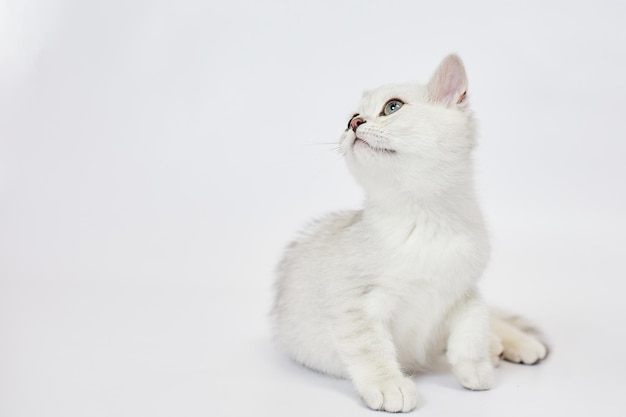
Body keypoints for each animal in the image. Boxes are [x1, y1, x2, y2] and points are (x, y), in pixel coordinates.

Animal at [270, 53, 544, 412]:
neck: (424, 221)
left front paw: (475, 368)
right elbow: (370, 348)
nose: (354, 124)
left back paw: (513, 344)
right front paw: (389, 385)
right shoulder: (352, 302)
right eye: (351, 118)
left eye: (392, 107)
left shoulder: (465, 290)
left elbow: (473, 327)